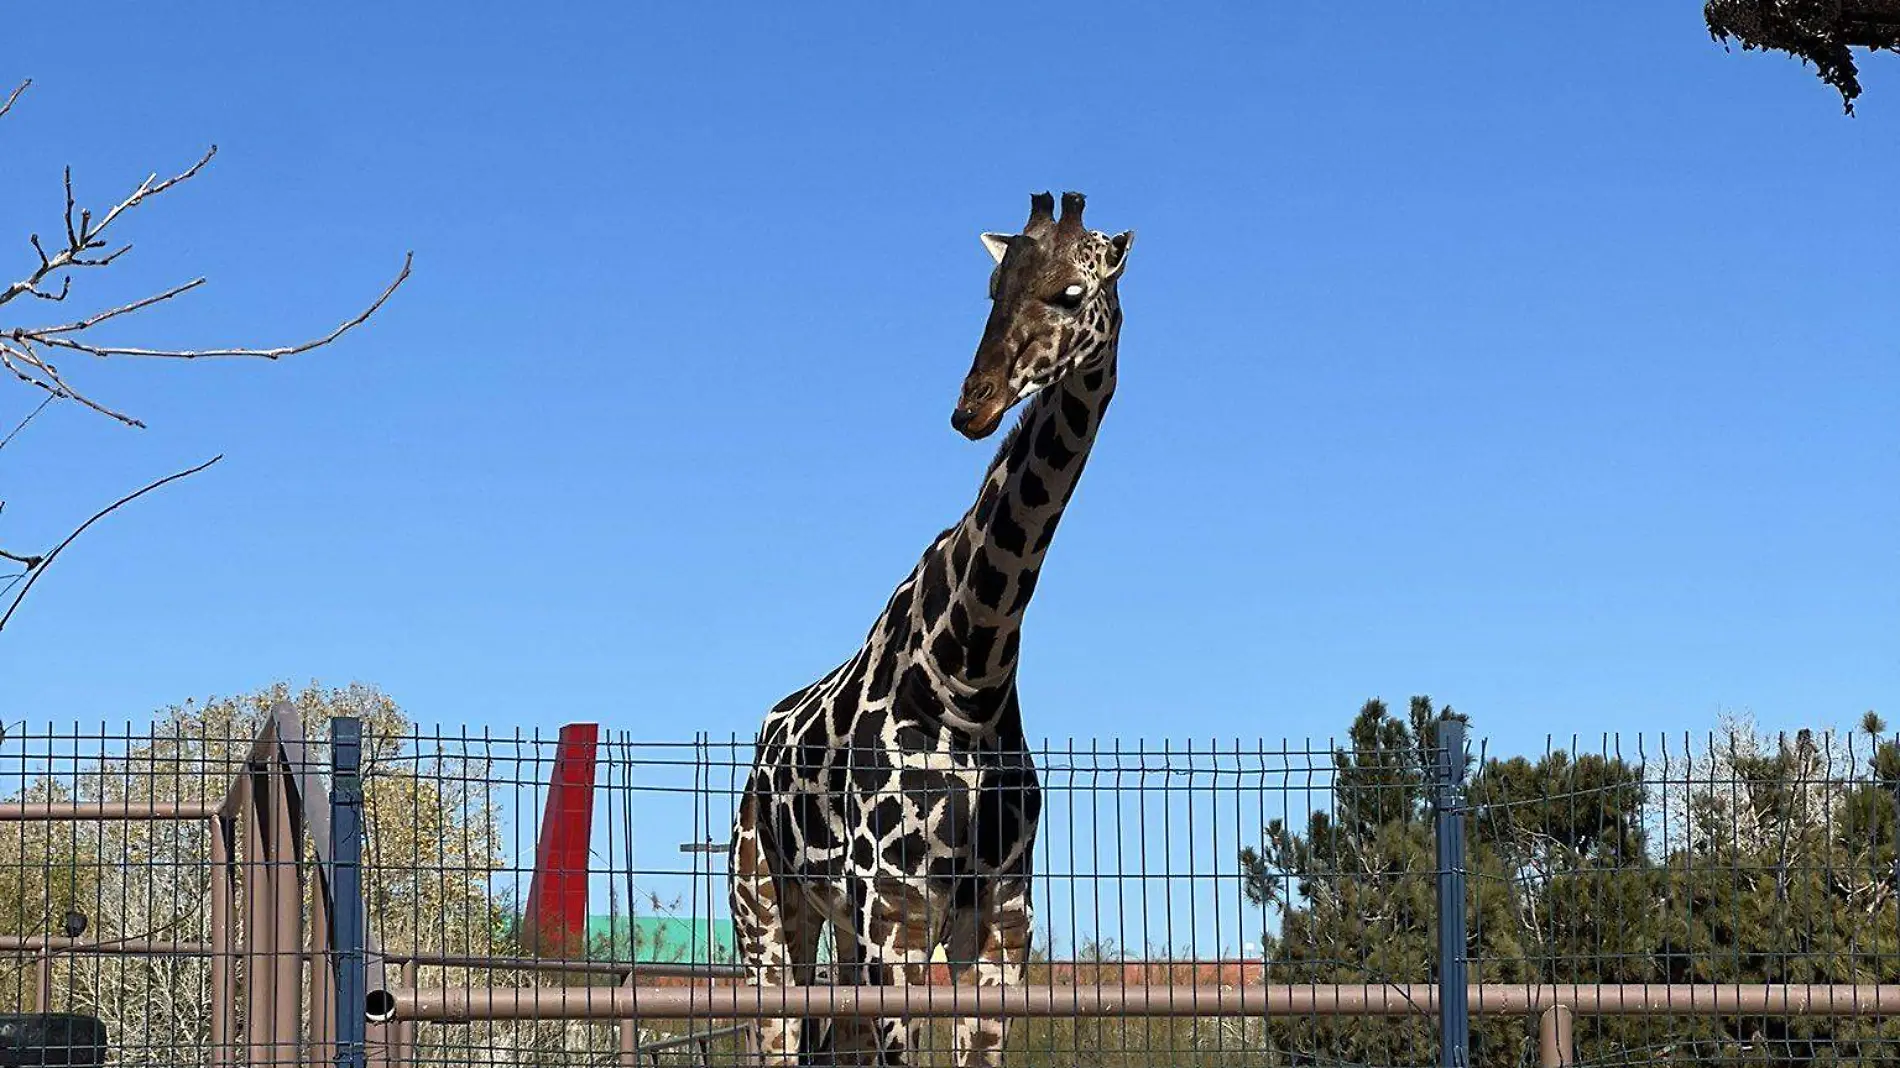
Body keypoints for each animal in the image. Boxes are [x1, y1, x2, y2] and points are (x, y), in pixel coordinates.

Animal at [729, 187, 1132, 1056]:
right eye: (992, 290)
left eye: (1070, 293)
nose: (971, 407)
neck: (968, 673)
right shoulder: (896, 913)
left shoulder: (1003, 922)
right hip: (766, 915)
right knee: (779, 1033)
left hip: (836, 929)